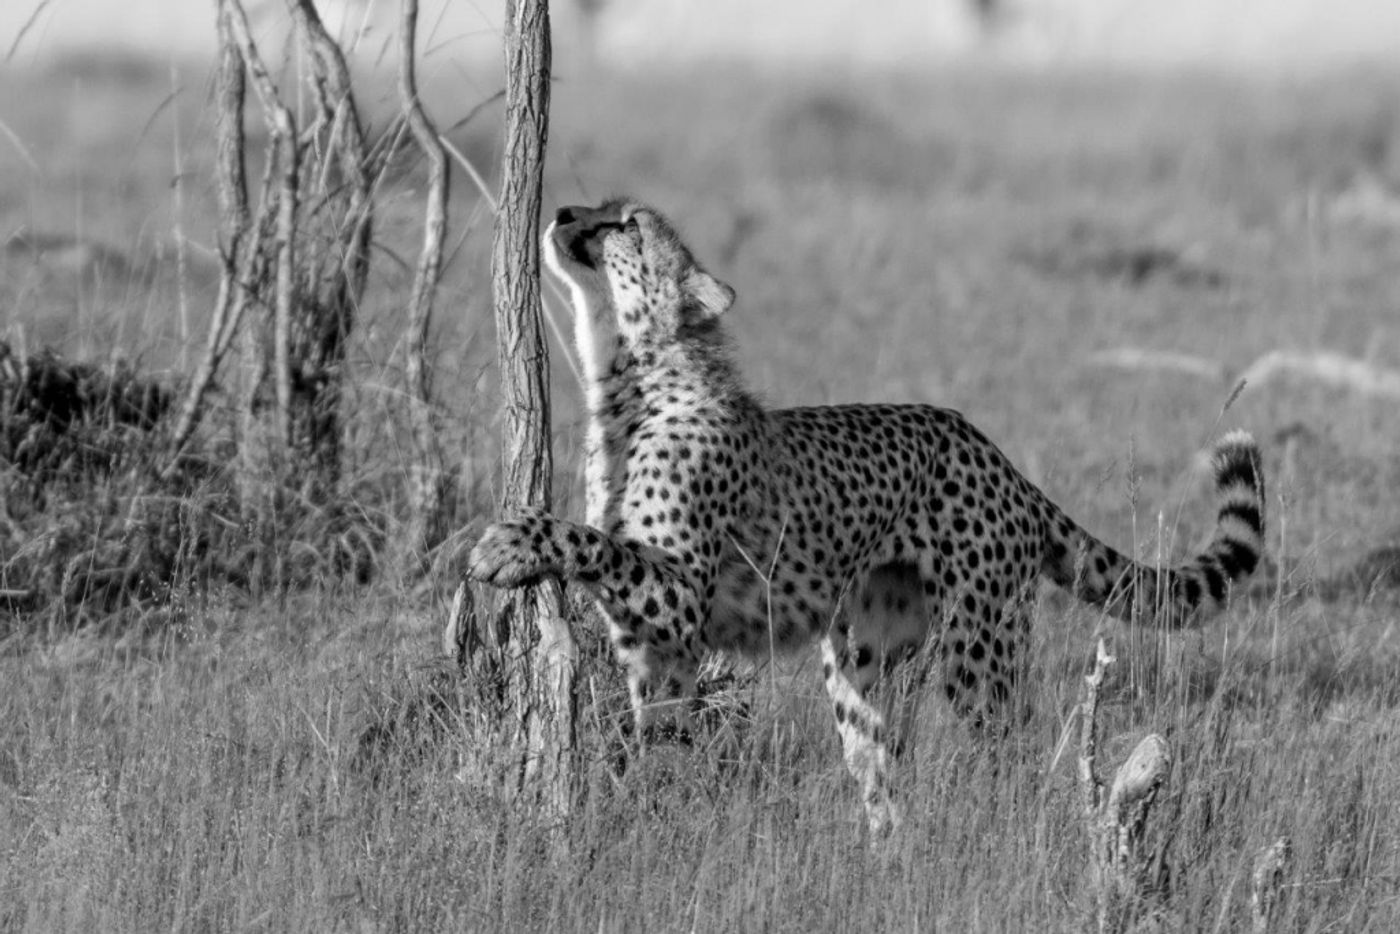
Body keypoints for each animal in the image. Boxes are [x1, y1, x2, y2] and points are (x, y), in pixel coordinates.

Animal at [468, 197, 1266, 833]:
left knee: (1008, 747)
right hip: (865, 659)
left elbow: (591, 539)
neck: (626, 376)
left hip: (979, 647)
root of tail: (989, 448)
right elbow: (657, 724)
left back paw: (998, 835)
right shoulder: (654, 638)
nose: (565, 212)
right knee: (881, 766)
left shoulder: (681, 594)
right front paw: (649, 804)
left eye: (626, 223)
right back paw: (883, 854)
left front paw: (509, 543)